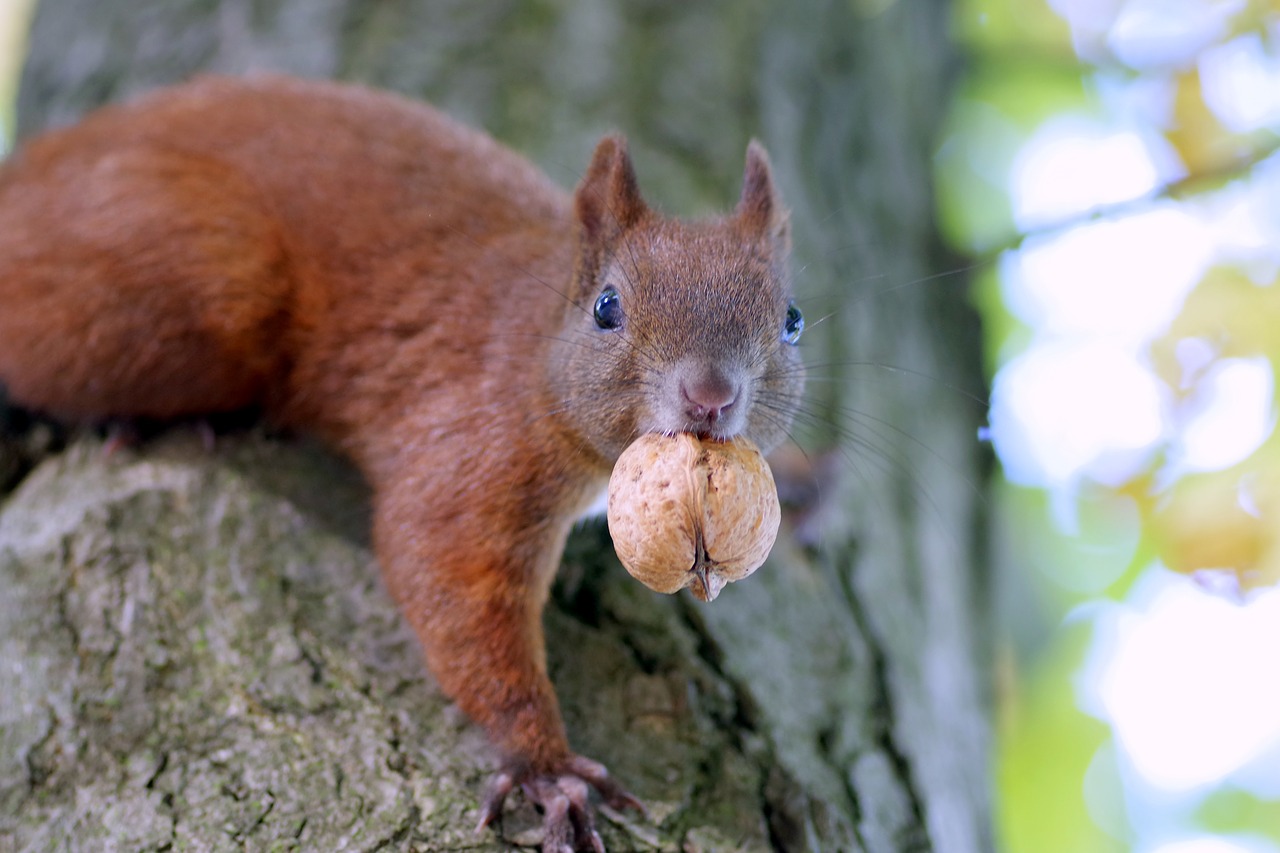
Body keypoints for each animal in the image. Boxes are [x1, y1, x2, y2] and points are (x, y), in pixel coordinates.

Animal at [0, 74, 803, 850]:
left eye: (792, 319)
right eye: (608, 308)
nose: (710, 397)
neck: (536, 343)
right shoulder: (473, 446)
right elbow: (448, 575)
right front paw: (545, 765)